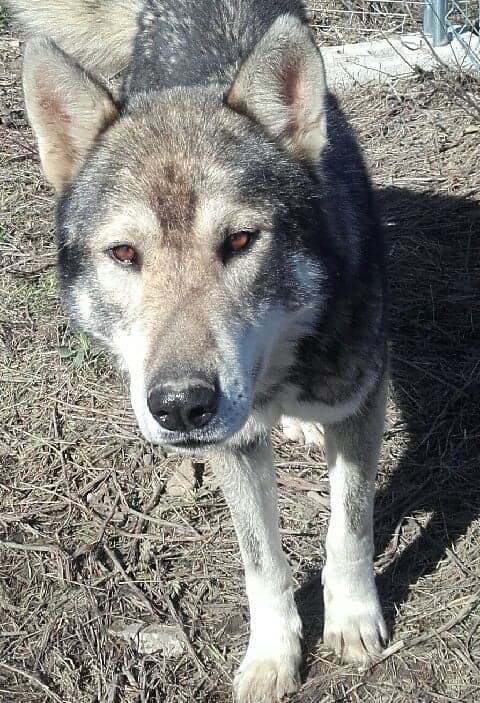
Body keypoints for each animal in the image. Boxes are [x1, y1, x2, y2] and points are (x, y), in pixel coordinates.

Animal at [6, 1, 389, 700]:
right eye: (124, 253)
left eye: (239, 241)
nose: (181, 406)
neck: (275, 376)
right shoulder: (233, 446)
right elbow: (262, 562)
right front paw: (272, 656)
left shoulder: (360, 403)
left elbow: (349, 530)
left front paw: (351, 621)